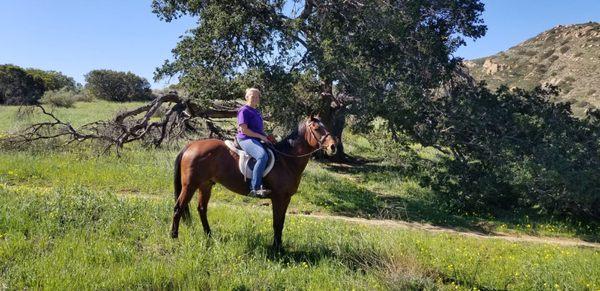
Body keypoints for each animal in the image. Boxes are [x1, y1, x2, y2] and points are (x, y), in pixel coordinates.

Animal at [171, 117, 338, 250]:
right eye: (316, 128)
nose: (333, 147)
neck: (286, 160)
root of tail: (191, 146)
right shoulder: (278, 198)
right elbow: (277, 222)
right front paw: (277, 248)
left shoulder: (286, 198)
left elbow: (281, 222)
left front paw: (279, 246)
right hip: (190, 186)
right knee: (178, 208)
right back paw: (174, 237)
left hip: (205, 185)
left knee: (201, 209)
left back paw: (209, 235)